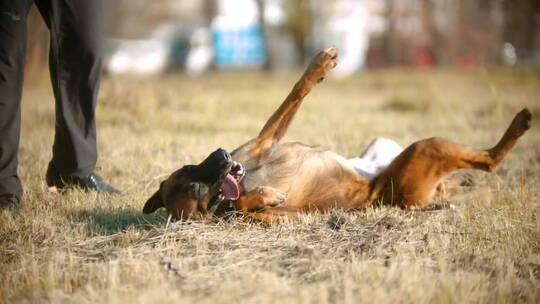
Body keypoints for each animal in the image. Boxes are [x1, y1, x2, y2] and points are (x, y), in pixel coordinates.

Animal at [141, 47, 532, 223]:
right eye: (196, 191)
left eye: (190, 167)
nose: (222, 156)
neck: (247, 178)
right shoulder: (284, 216)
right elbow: (245, 208)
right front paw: (259, 197)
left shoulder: (263, 142)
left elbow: (294, 94)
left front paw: (318, 66)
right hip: (426, 150)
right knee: (489, 160)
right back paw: (517, 127)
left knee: (452, 183)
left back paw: (462, 184)